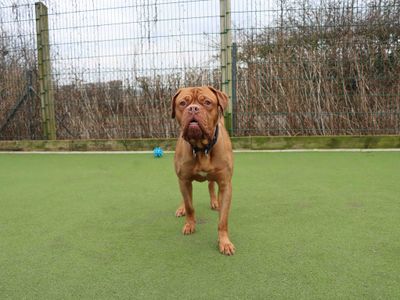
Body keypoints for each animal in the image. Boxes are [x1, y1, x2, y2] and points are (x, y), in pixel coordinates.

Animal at [171, 85, 234, 254]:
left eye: (207, 102)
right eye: (182, 103)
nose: (193, 108)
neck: (200, 147)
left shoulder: (225, 184)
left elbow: (223, 219)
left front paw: (224, 242)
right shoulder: (184, 179)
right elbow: (190, 205)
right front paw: (189, 224)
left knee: (211, 185)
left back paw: (214, 202)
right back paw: (181, 209)